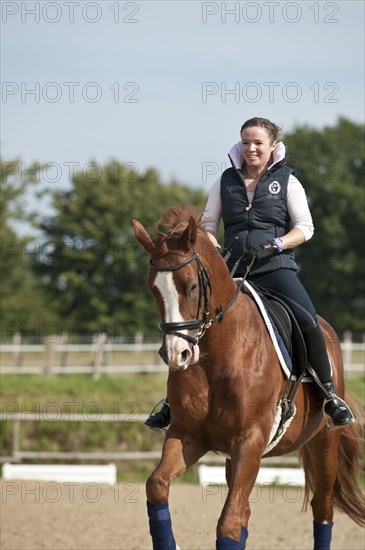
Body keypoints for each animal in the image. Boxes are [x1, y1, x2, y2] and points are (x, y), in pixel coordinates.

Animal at [132, 207, 362, 550]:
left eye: (191, 286)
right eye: (152, 289)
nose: (177, 355)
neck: (218, 356)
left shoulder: (250, 440)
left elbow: (228, 523)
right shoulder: (187, 435)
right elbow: (157, 484)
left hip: (324, 442)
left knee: (322, 509)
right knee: (246, 513)